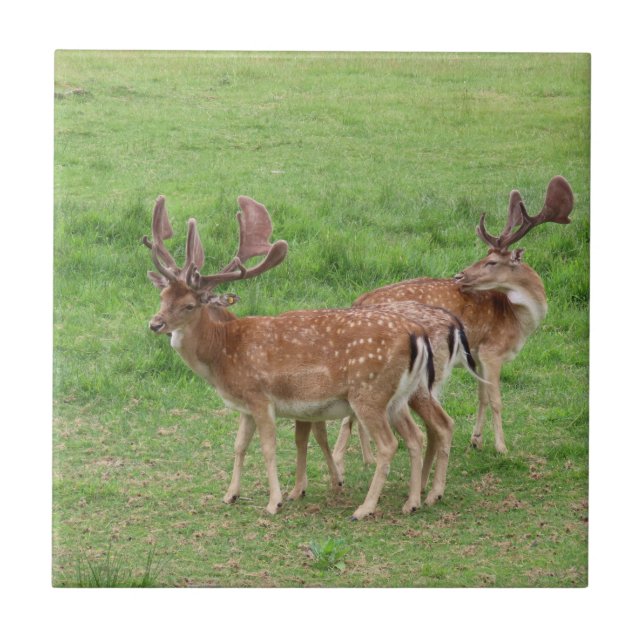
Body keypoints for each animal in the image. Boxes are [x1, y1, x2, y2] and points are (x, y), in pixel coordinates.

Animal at [143, 194, 438, 519]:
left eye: (190, 305)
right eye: (162, 297)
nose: (155, 324)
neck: (223, 354)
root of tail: (416, 333)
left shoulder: (260, 396)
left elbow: (268, 448)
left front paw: (274, 502)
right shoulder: (245, 406)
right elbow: (239, 445)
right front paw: (230, 494)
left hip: (369, 392)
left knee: (389, 444)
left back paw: (365, 508)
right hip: (398, 397)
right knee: (416, 437)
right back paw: (412, 502)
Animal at [332, 175, 574, 471]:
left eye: (492, 261)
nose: (459, 275)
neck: (518, 320)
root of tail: (358, 301)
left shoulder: (479, 356)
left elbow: (482, 396)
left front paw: (476, 440)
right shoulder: (493, 351)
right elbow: (496, 399)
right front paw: (502, 447)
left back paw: (366, 459)